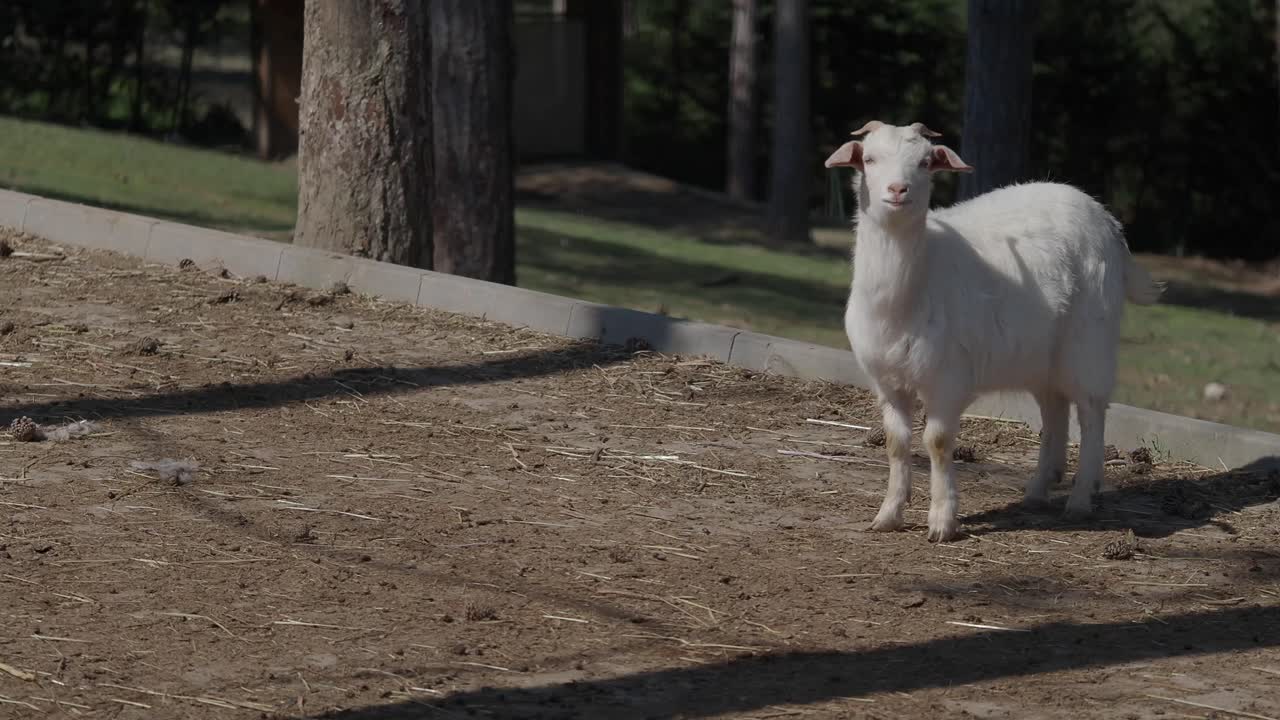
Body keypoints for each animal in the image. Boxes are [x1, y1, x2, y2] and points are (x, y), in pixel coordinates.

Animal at [825, 120, 1162, 542]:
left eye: (925, 162)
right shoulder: (887, 382)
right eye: (868, 159)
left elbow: (937, 443)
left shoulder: (948, 379)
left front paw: (942, 520)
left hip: (1089, 344)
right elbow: (896, 445)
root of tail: (1106, 218)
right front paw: (888, 515)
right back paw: (1038, 488)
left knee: (1091, 412)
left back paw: (1081, 497)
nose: (898, 190)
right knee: (1055, 410)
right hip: (1040, 355)